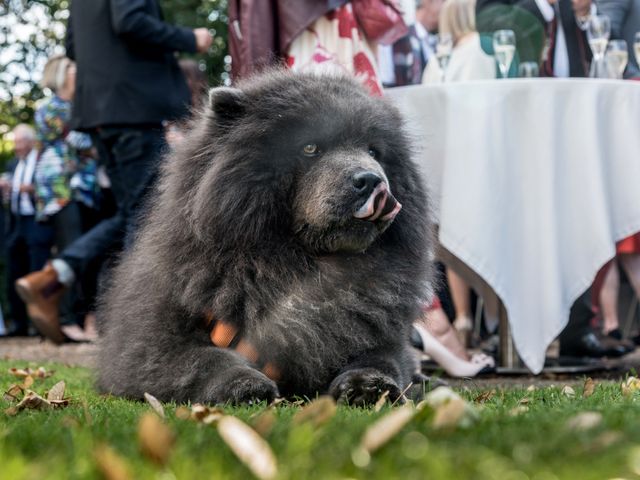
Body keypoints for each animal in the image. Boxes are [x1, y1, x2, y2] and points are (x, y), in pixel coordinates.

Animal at [96, 68, 430, 404]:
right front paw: (245, 385)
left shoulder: (375, 333)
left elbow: (381, 359)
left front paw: (369, 386)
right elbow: (204, 359)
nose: (371, 179)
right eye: (310, 148)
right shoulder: (147, 343)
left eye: (374, 151)